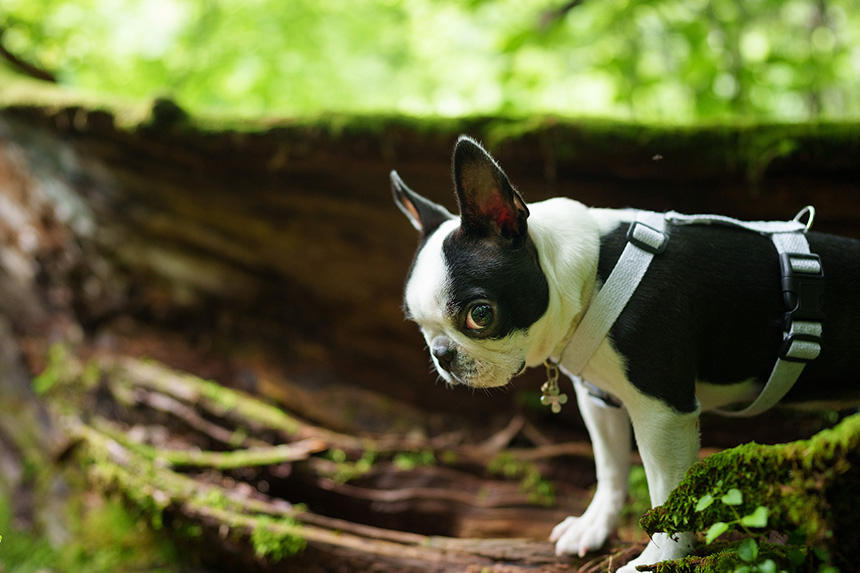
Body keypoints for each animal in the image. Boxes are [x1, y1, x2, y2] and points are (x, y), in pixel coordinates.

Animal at [392, 136, 860, 568]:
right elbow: (611, 467)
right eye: (418, 325)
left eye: (480, 315)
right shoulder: (600, 399)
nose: (443, 354)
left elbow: (668, 494)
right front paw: (594, 527)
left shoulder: (663, 414)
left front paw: (659, 558)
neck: (589, 276)